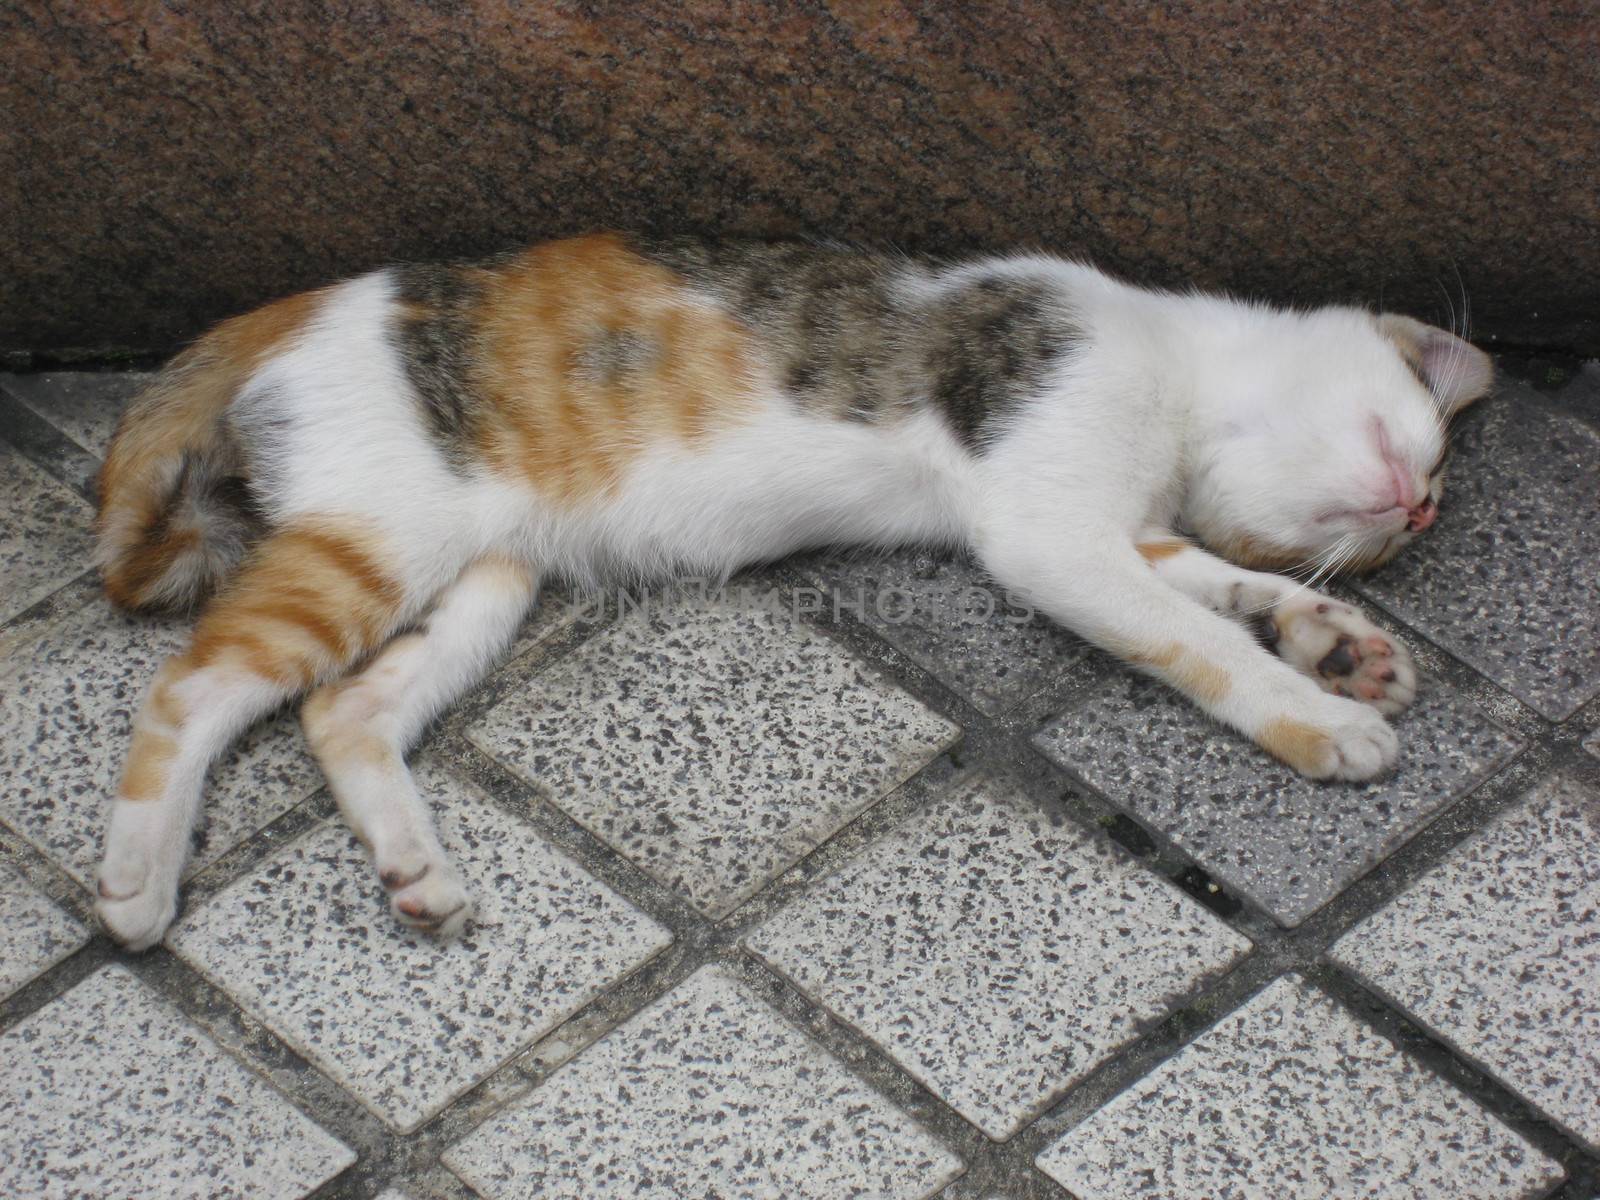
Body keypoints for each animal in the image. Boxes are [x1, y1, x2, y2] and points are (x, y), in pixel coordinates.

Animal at [87, 232, 1491, 947]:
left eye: (1418, 502)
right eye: (1427, 438)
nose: (1420, 509)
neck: (1180, 370)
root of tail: (290, 309)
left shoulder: (1119, 532)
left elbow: (1210, 585)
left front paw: (1334, 638)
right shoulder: (1047, 526)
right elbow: (1196, 641)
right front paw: (1321, 716)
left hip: (481, 571)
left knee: (345, 711)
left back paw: (414, 870)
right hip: (375, 537)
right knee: (194, 686)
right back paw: (136, 884)